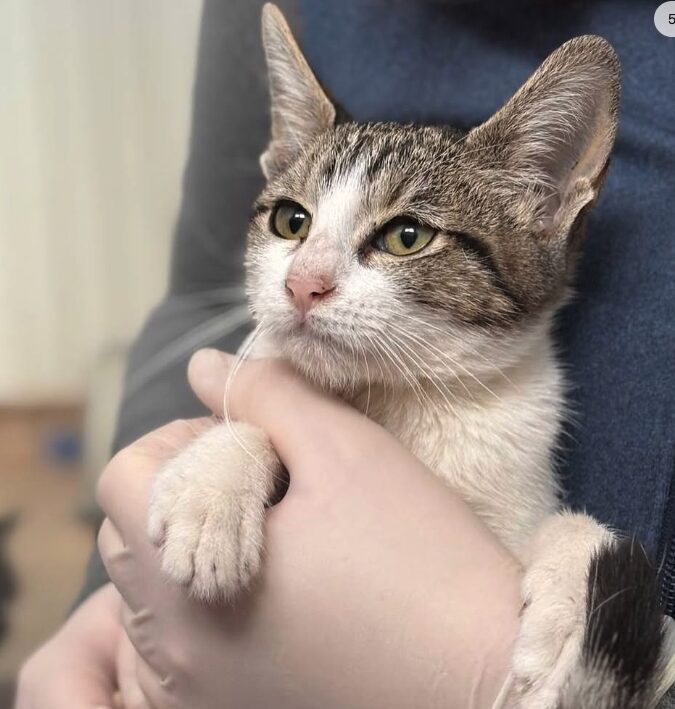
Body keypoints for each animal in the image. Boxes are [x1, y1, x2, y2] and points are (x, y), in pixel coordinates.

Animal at [147, 6, 664, 708]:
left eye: (407, 237)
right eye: (291, 222)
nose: (302, 283)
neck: (405, 402)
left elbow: (584, 535)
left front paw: (578, 603)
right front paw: (214, 484)